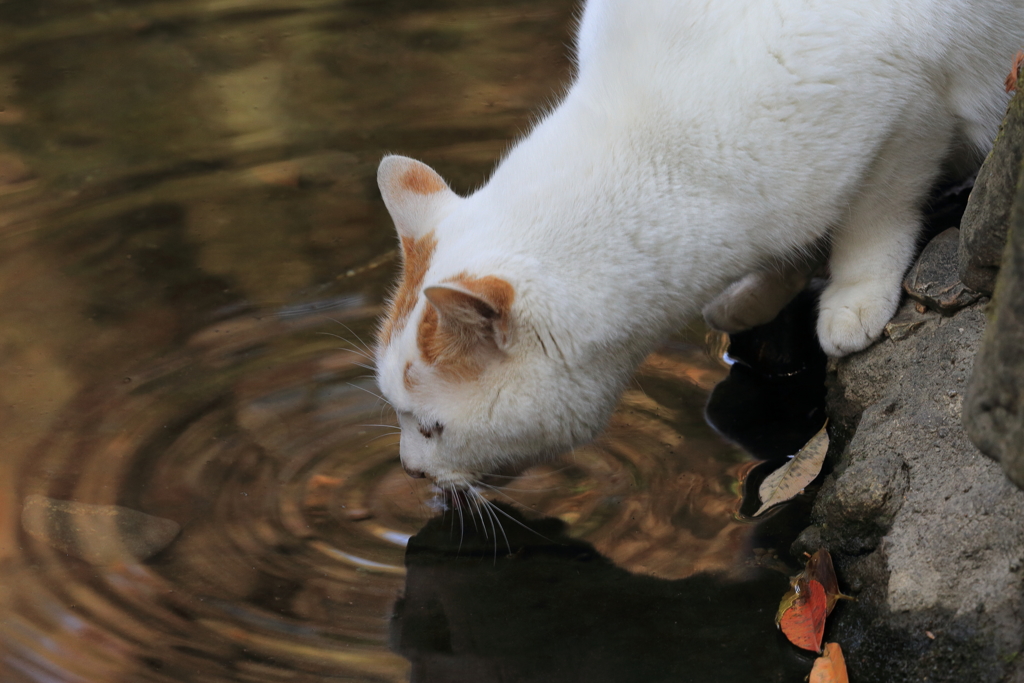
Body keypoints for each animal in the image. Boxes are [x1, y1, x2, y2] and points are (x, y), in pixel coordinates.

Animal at [374, 0, 1024, 485]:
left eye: (429, 428)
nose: (410, 471)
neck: (655, 146)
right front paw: (756, 294)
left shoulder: (909, 115)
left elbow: (877, 215)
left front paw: (855, 295)